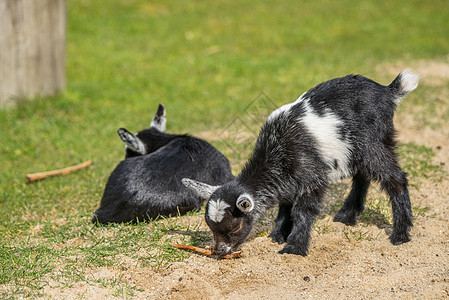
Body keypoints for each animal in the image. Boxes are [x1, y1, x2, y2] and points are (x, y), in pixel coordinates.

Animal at [181, 70, 416, 255]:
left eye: (235, 228)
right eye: (211, 228)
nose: (220, 251)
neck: (276, 148)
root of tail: (387, 91)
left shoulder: (311, 175)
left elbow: (302, 210)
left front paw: (294, 247)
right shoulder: (287, 182)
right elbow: (285, 207)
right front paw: (276, 236)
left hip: (374, 143)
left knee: (395, 179)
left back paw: (400, 234)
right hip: (356, 150)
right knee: (362, 175)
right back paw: (346, 216)